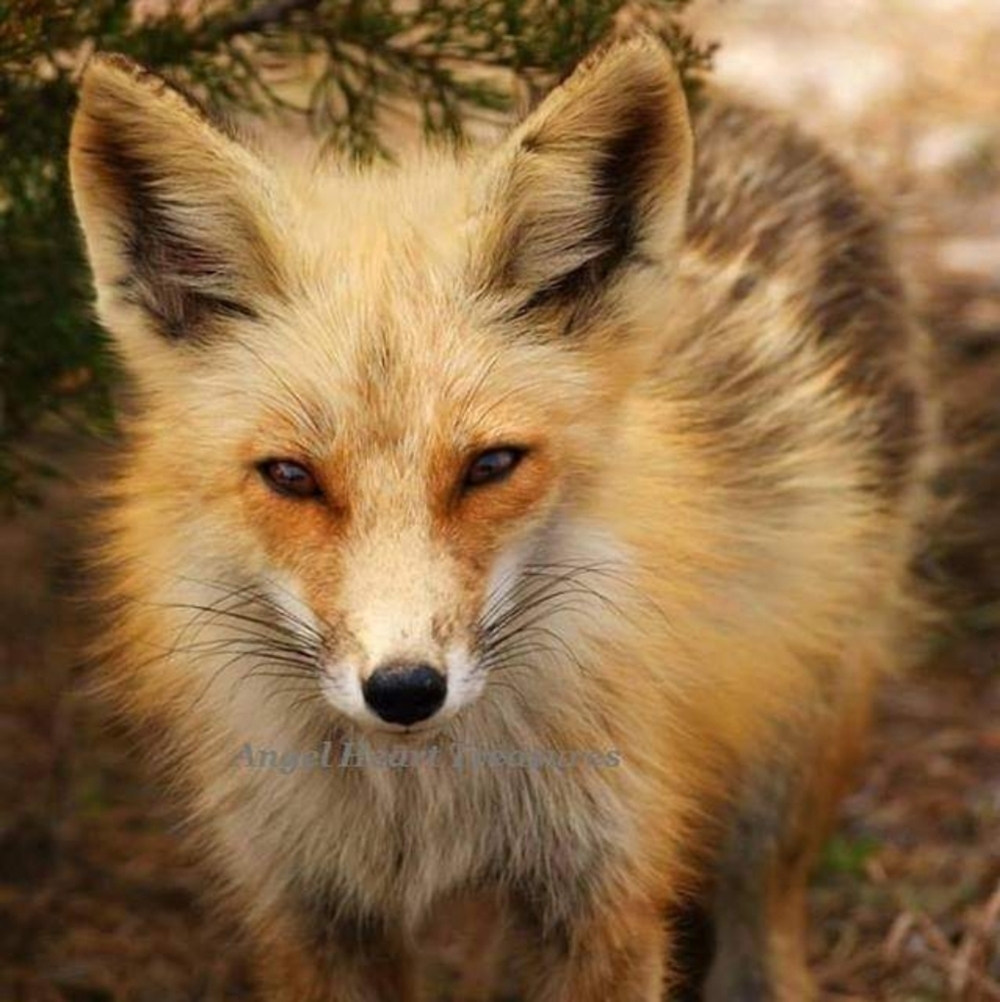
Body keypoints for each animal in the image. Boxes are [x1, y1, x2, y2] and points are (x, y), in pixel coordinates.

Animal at [69, 34, 935, 1002]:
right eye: (291, 477)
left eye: (490, 466)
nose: (405, 689)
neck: (429, 800)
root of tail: (745, 104)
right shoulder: (313, 904)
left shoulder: (600, 895)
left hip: (800, 737)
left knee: (763, 919)